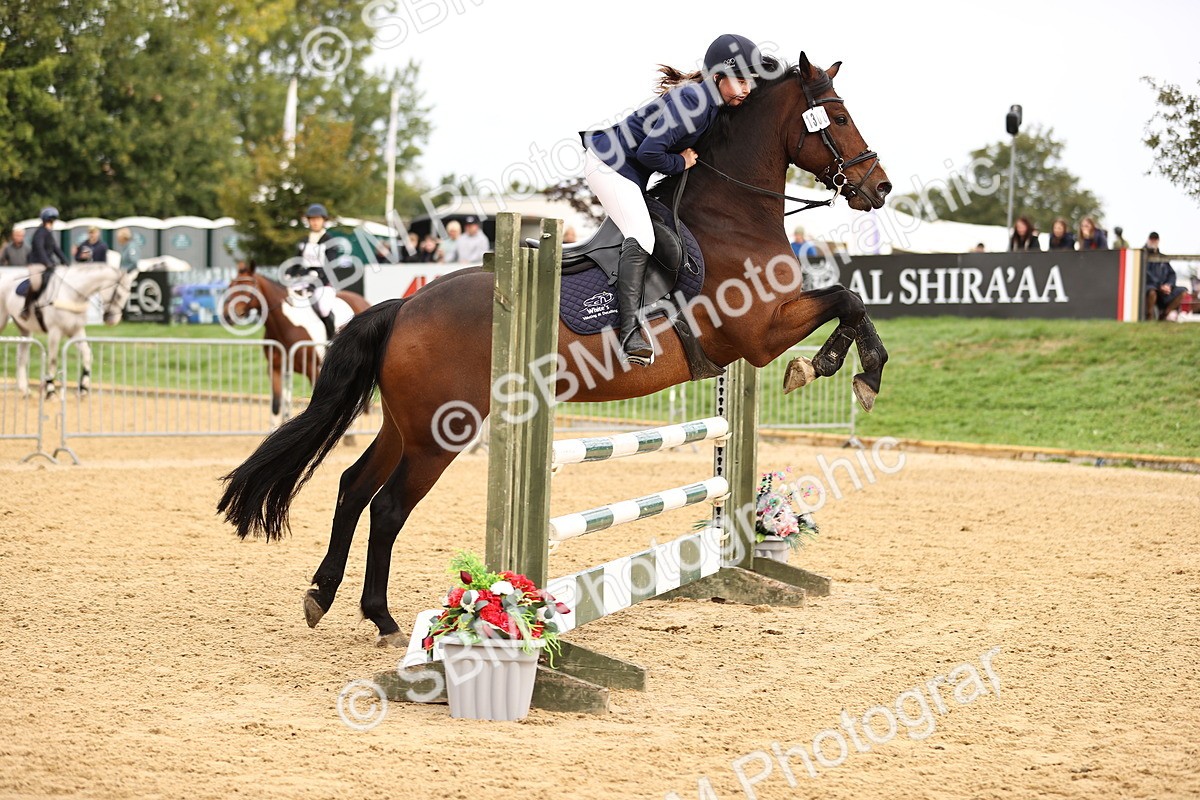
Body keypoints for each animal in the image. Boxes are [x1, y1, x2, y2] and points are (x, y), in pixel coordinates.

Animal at [0, 261, 138, 397]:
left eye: (128, 295)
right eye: (118, 295)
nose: (112, 321)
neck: (72, 294)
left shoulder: (77, 331)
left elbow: (87, 355)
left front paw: (83, 388)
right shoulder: (54, 332)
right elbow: (53, 361)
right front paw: (50, 391)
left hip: (25, 330)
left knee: (21, 357)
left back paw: (25, 390)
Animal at [219, 261, 372, 429]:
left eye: (247, 288)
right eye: (230, 285)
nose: (227, 316)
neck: (285, 325)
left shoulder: (313, 369)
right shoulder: (275, 369)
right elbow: (277, 404)